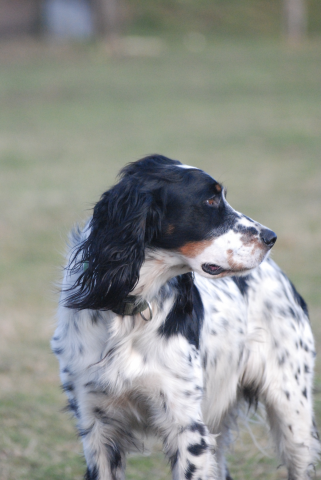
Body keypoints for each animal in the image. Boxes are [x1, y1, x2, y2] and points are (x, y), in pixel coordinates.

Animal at [51, 155, 318, 480]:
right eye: (210, 199)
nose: (272, 237)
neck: (128, 314)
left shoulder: (186, 425)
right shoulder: (97, 425)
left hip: (292, 413)